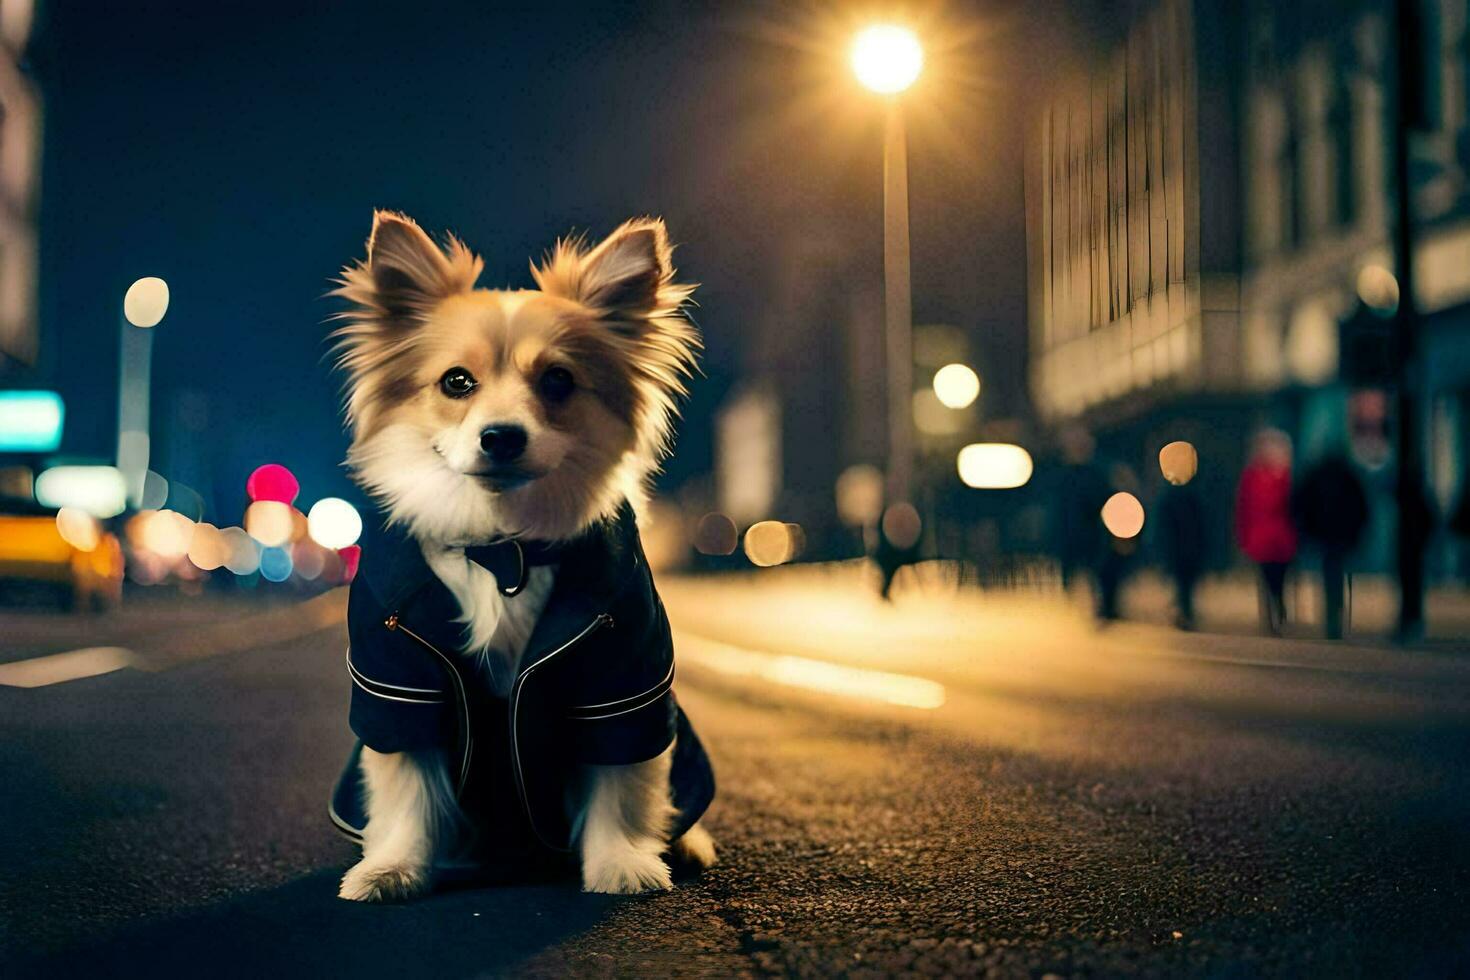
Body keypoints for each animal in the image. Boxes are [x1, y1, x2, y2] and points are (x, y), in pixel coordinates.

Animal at [335, 214, 723, 905]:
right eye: (456, 382)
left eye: (558, 381)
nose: (502, 437)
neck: (503, 550)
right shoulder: (400, 687)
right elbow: (406, 793)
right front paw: (391, 868)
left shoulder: (621, 688)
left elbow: (623, 787)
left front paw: (622, 863)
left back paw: (686, 841)